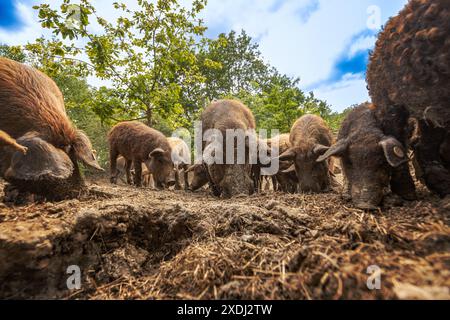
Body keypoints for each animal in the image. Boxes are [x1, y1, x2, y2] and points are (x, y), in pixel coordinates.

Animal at [366, 0, 450, 198]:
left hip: (427, 104)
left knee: (423, 142)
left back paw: (442, 185)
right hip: (389, 102)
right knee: (396, 140)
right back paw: (407, 191)